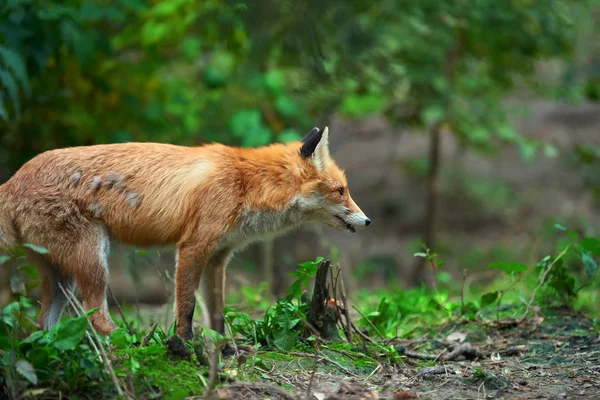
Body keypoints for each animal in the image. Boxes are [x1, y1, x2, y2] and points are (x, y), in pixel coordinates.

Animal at [0, 126, 368, 342]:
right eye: (341, 191)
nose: (367, 222)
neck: (246, 184)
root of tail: (13, 179)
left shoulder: (219, 257)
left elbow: (217, 312)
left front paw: (226, 351)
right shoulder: (193, 247)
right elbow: (187, 306)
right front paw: (184, 345)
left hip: (62, 275)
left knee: (42, 324)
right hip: (93, 262)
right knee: (96, 317)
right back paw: (130, 346)